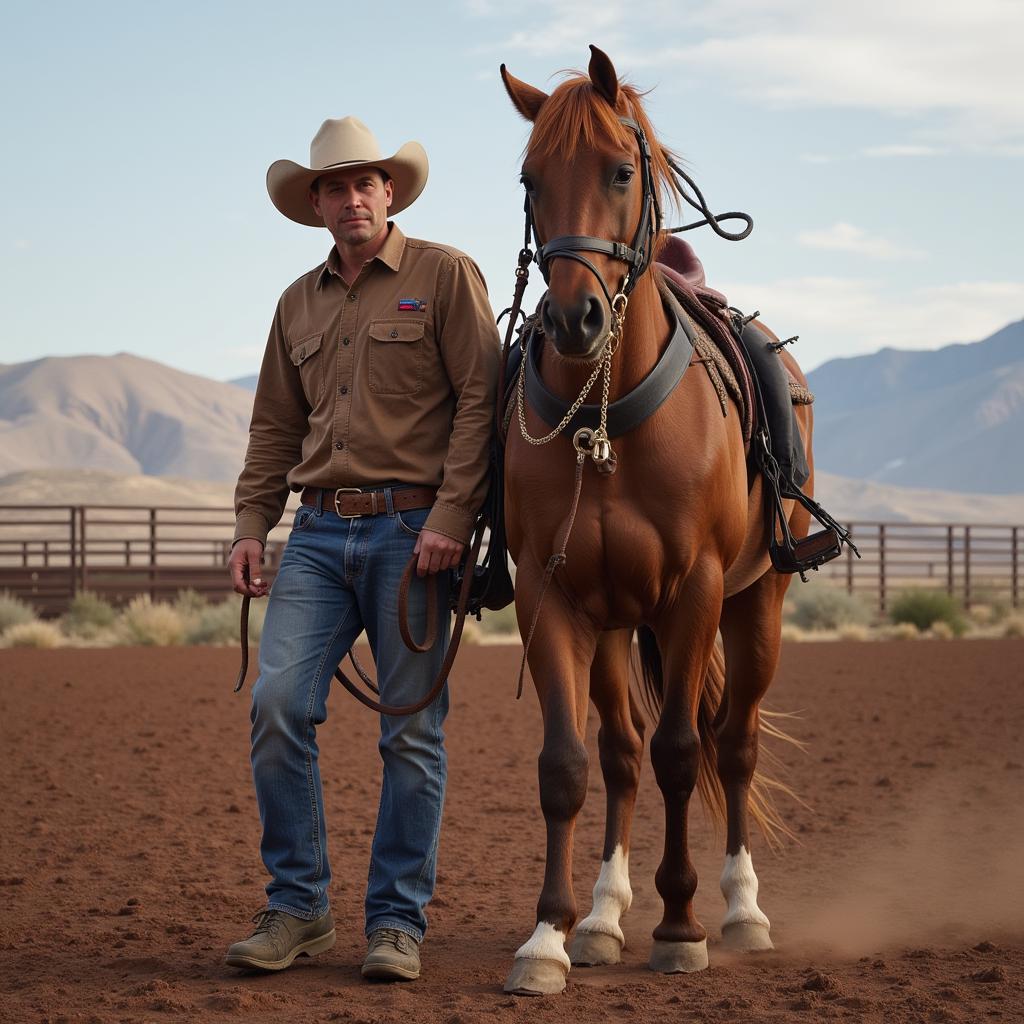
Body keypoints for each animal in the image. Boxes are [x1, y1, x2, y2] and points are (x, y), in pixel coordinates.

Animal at [499, 48, 811, 991]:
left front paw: (682, 927)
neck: (608, 417)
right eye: (530, 180)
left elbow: (683, 751)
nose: (572, 318)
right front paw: (550, 936)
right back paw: (605, 917)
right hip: (613, 623)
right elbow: (569, 765)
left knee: (733, 743)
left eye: (620, 171)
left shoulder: (695, 592)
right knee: (622, 752)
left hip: (756, 602)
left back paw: (742, 910)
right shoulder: (552, 597)